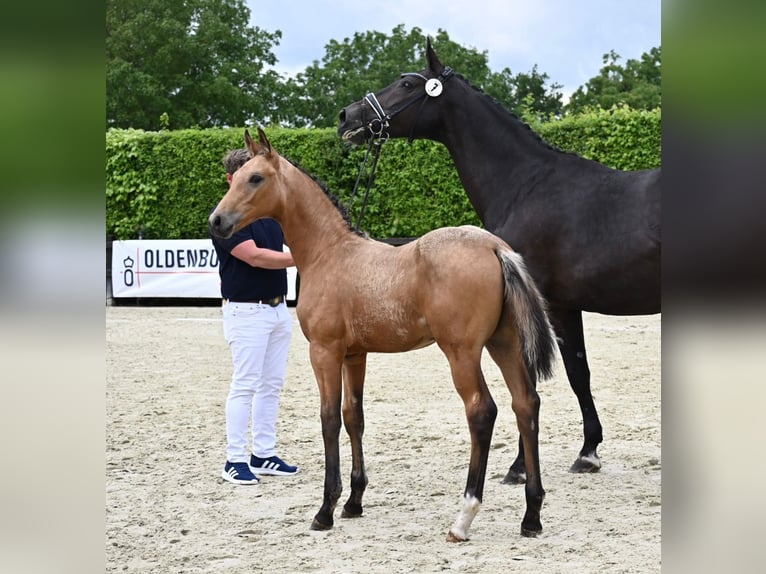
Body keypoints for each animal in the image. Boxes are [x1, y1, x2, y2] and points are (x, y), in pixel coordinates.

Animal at [210, 129, 560, 540]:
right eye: (238, 176)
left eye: (256, 178)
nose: (217, 221)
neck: (329, 252)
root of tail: (494, 246)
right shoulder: (354, 354)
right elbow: (353, 417)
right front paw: (353, 502)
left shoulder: (325, 352)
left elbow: (329, 419)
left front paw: (325, 509)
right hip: (503, 344)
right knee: (526, 404)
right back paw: (531, 515)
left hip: (462, 352)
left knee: (481, 410)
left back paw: (463, 517)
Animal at [340, 38, 664, 484]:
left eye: (407, 83)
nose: (349, 116)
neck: (526, 185)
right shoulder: (564, 306)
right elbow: (577, 374)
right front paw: (588, 451)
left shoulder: (544, 306)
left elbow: (537, 380)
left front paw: (523, 466)